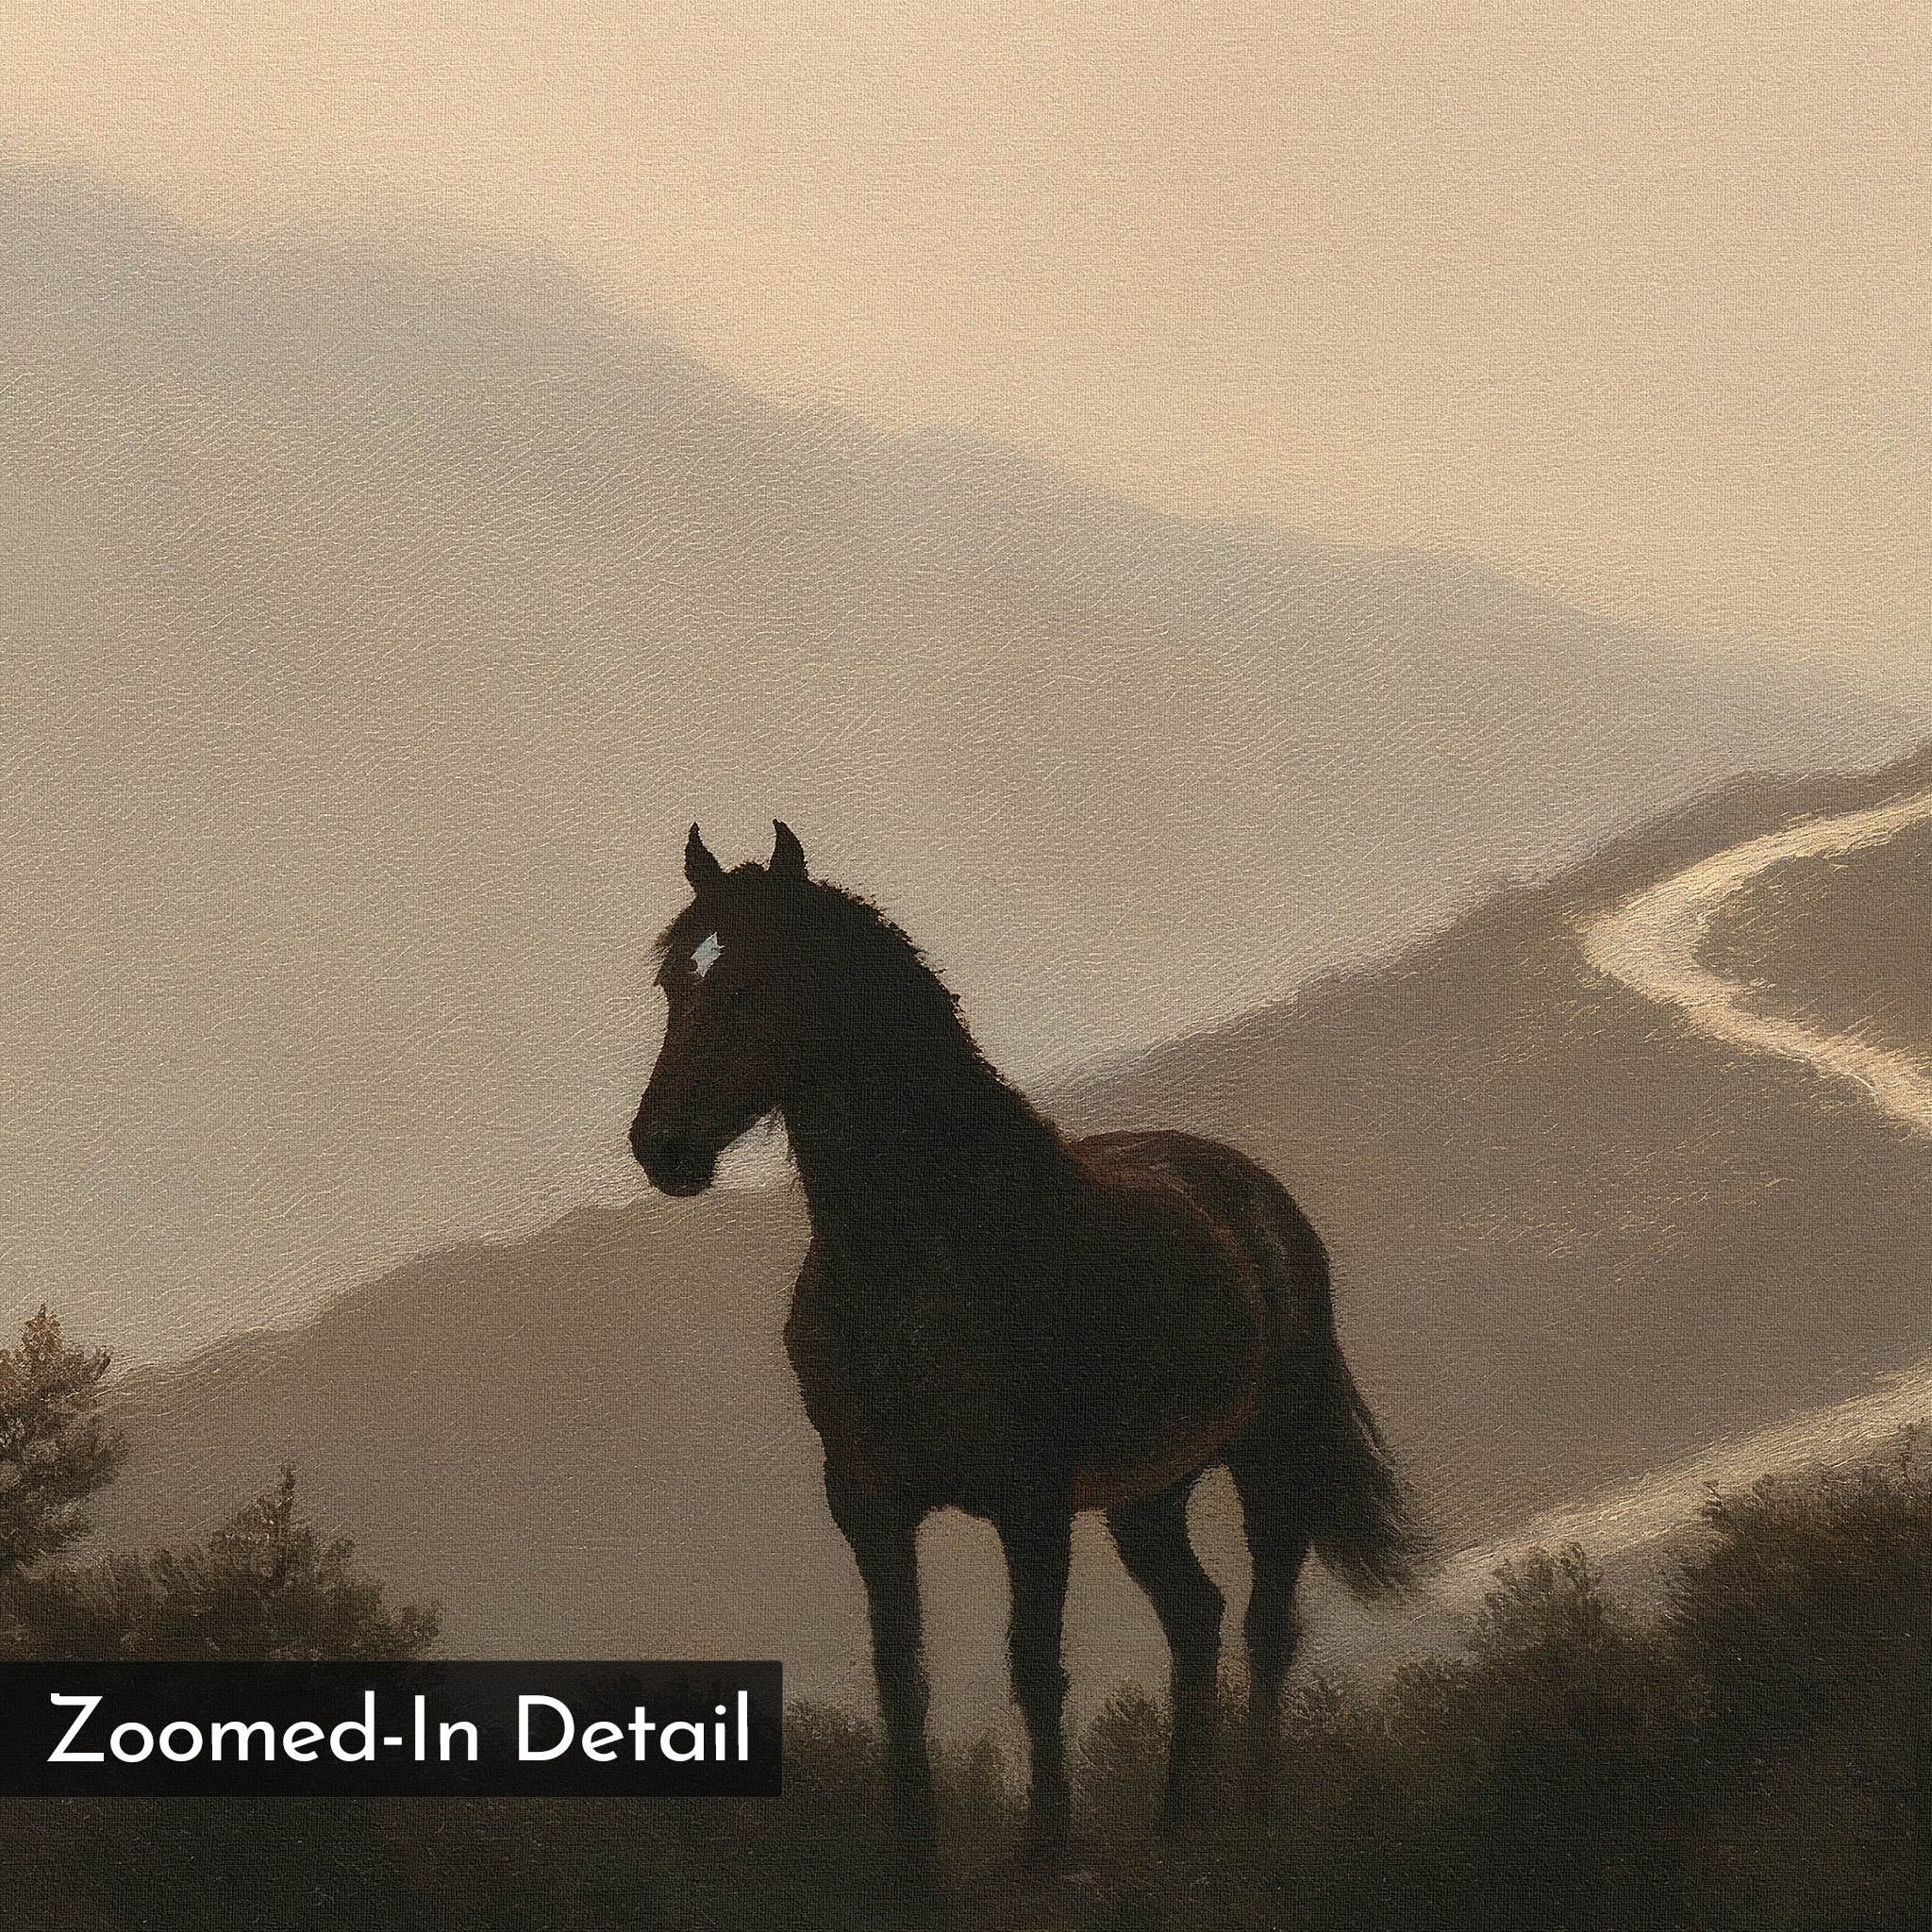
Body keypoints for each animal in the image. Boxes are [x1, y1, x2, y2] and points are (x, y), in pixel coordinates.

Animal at [630, 822, 1420, 1885]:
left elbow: (1034, 1664)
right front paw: (915, 1870)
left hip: (1267, 1456)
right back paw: (1179, 1823)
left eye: (751, 983)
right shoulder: (868, 1505)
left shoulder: (1031, 1501)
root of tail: (1249, 1191)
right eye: (675, 982)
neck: (917, 1259)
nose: (661, 1147)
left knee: (1264, 1624)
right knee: (1196, 1616)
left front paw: (1048, 1856)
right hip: (1146, 1494)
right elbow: (902, 1677)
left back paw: (1254, 1815)